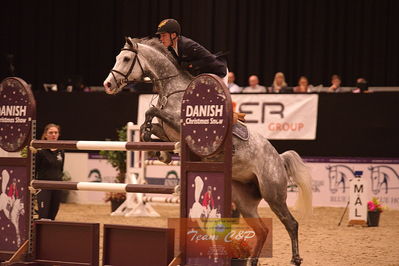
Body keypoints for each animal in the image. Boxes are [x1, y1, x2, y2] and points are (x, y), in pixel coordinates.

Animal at [103, 37, 312, 264]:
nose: (107, 85)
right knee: (262, 230)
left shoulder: (182, 125)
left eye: (126, 58)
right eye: (118, 57)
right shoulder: (169, 131)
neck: (172, 90)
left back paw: (296, 259)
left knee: (291, 223)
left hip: (272, 193)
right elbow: (148, 125)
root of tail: (279, 159)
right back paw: (252, 261)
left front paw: (157, 143)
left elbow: (152, 111)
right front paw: (160, 150)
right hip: (244, 200)